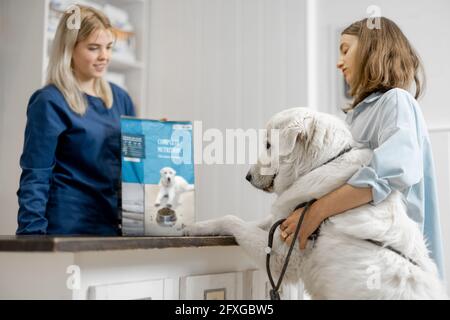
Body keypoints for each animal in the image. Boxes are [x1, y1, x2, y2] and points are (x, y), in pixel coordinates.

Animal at [185, 108, 446, 300]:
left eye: (268, 145)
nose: (247, 176)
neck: (319, 165)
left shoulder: (282, 256)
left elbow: (234, 221)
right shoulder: (284, 219)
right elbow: (246, 220)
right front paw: (192, 227)